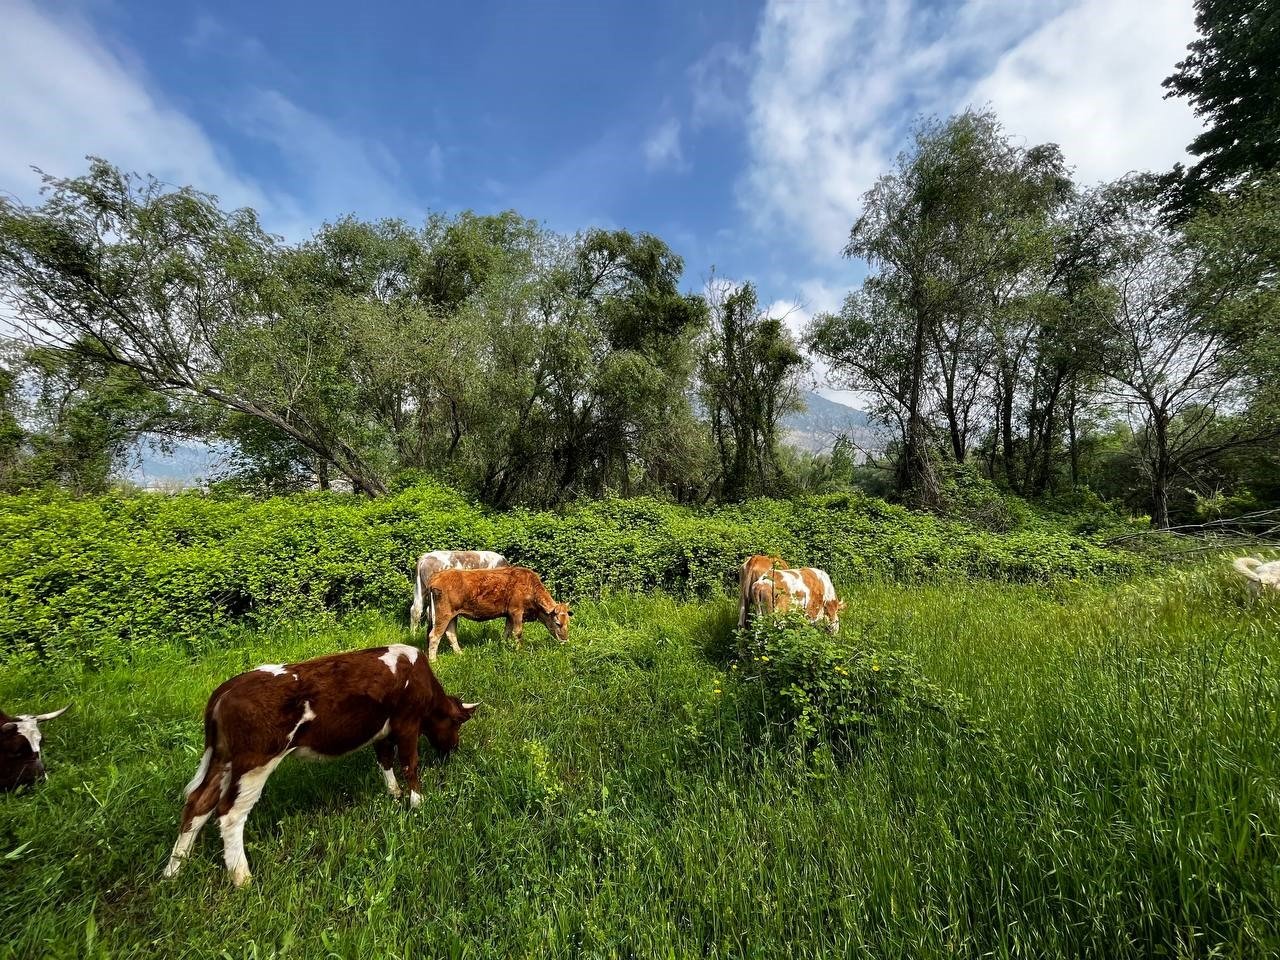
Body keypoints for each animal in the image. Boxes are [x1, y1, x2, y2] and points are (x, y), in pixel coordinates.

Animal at [163, 642, 476, 890]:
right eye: (457, 722)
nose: (454, 749)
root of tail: (225, 690)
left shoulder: (382, 731)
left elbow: (385, 759)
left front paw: (394, 793)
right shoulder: (407, 724)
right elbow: (410, 764)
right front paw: (417, 802)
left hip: (223, 759)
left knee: (198, 803)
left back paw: (173, 870)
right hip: (254, 762)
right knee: (229, 813)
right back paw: (243, 878)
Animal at [424, 568, 570, 665]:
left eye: (568, 622)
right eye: (558, 623)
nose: (565, 640)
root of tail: (438, 576)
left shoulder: (509, 615)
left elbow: (507, 632)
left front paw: (503, 646)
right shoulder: (517, 611)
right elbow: (518, 633)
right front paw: (519, 651)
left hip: (453, 615)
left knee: (450, 634)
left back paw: (460, 653)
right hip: (443, 614)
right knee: (434, 635)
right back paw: (433, 660)